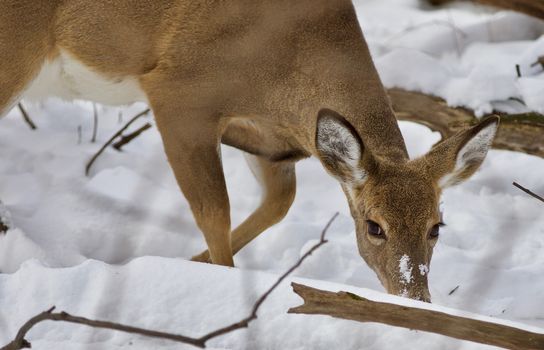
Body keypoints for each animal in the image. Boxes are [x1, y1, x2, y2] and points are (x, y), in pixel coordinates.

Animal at [0, 0, 500, 302]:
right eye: (374, 227)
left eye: (437, 227)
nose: (415, 298)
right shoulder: (181, 96)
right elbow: (214, 212)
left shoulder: (269, 143)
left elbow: (279, 204)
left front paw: (188, 263)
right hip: (15, 52)